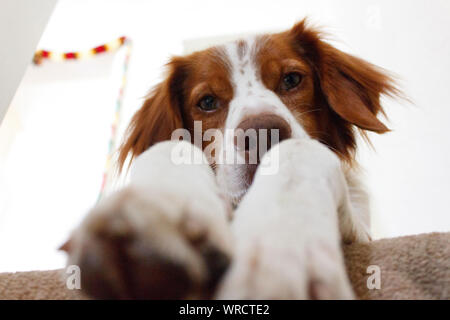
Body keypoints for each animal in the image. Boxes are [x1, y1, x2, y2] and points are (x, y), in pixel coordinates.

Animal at [62, 19, 398, 300]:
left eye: (291, 79)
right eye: (207, 101)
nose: (262, 134)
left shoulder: (362, 232)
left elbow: (297, 153)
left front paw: (280, 248)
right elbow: (171, 149)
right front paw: (156, 209)